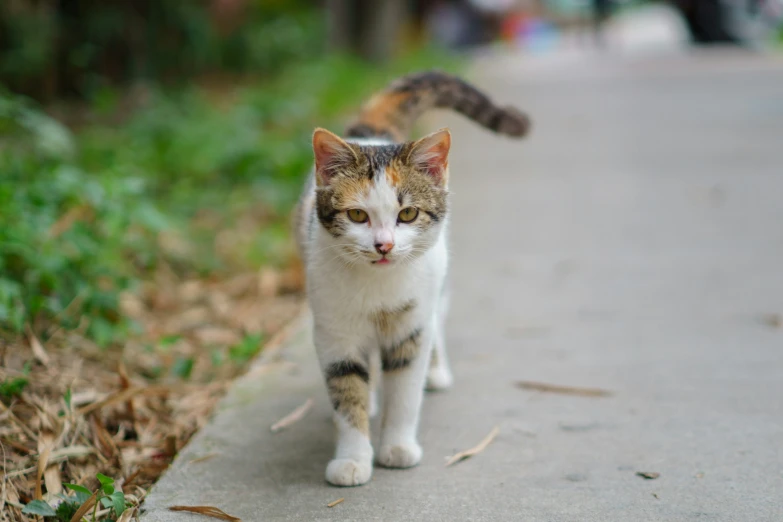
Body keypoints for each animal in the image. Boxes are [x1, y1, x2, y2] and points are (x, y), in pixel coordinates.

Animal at [298, 71, 528, 486]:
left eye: (407, 214)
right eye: (357, 215)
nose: (384, 245)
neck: (377, 287)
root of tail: (375, 135)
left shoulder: (411, 325)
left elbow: (405, 390)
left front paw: (398, 446)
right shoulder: (334, 331)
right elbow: (346, 390)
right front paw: (353, 458)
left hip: (437, 281)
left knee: (437, 323)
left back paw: (435, 372)